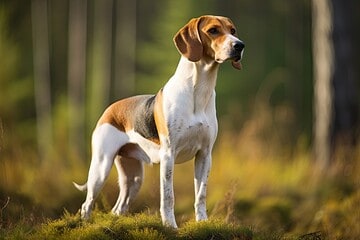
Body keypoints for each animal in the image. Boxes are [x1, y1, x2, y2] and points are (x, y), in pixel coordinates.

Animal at [74, 15, 246, 229]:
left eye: (233, 30)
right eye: (213, 30)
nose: (240, 45)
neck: (198, 90)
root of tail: (109, 109)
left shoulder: (205, 155)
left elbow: (201, 195)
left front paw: (202, 223)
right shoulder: (168, 156)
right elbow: (168, 197)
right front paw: (170, 226)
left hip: (134, 178)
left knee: (118, 208)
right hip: (101, 167)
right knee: (86, 204)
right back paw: (85, 224)